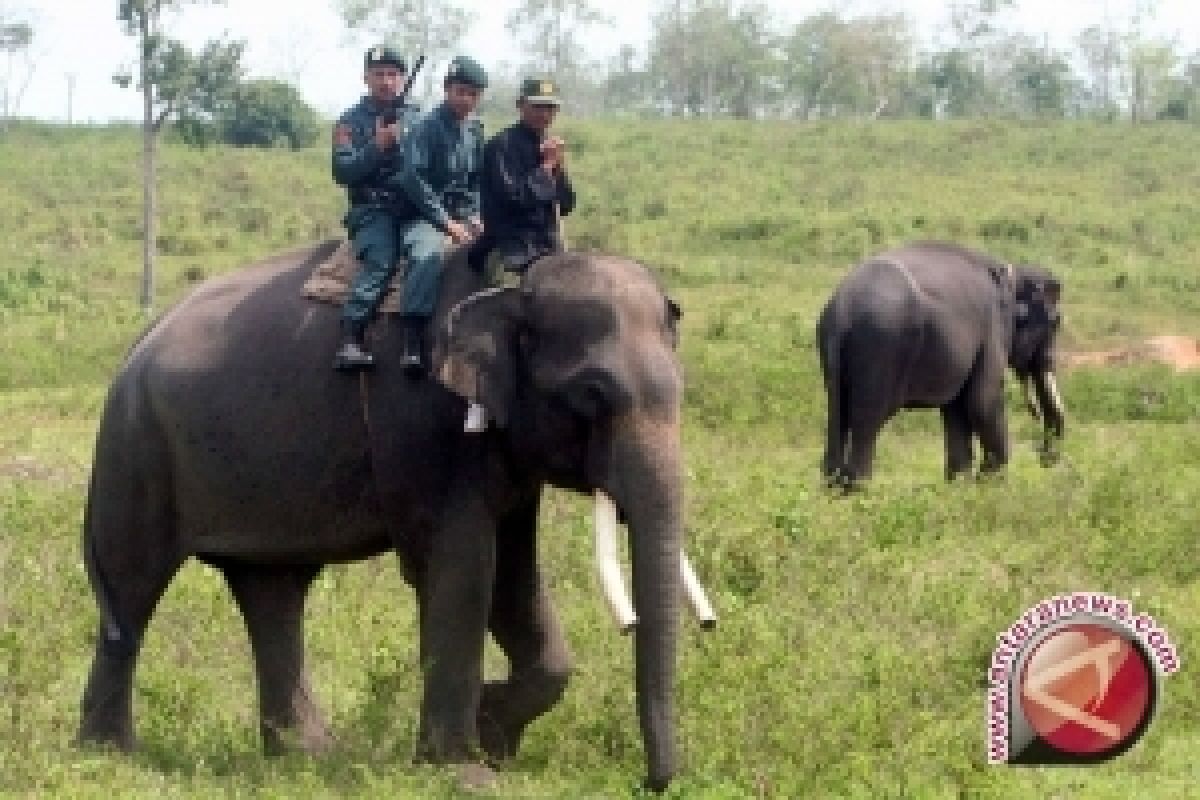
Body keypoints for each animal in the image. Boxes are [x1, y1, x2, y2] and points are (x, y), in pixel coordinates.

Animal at [75, 241, 705, 791]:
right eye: (591, 395)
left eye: (683, 390)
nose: (650, 783)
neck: (513, 283)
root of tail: (134, 347)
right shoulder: (422, 423)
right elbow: (463, 568)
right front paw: (464, 772)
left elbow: (513, 577)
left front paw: (494, 735)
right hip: (136, 448)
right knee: (132, 591)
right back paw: (108, 757)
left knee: (271, 589)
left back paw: (307, 759)